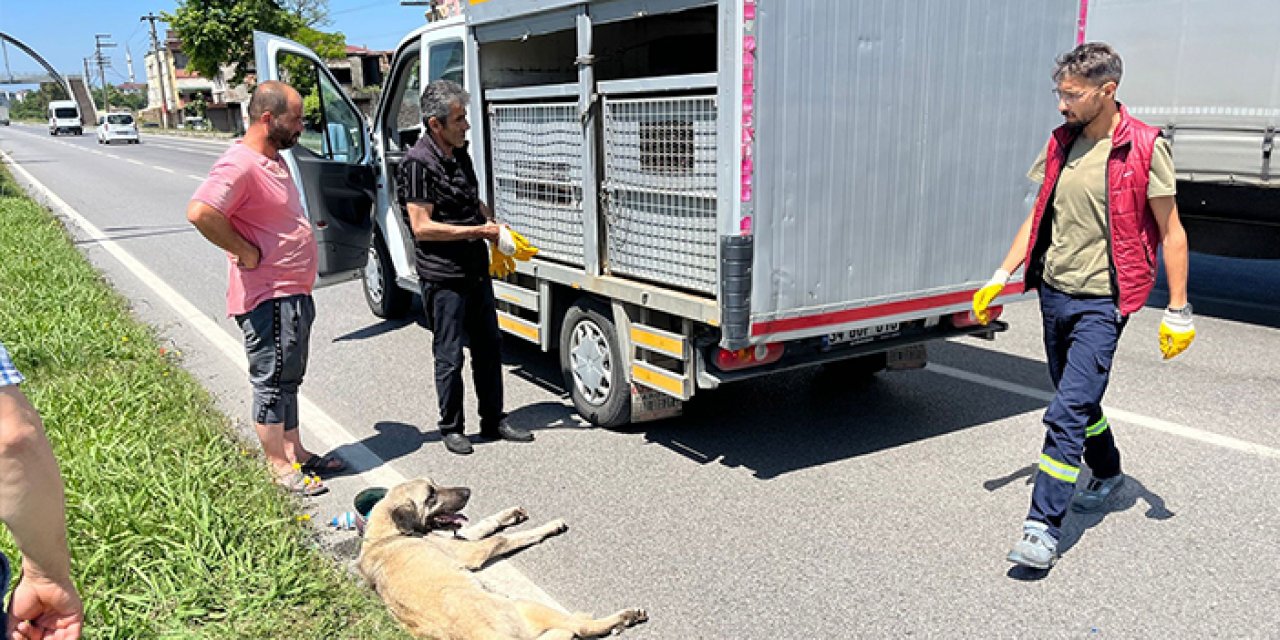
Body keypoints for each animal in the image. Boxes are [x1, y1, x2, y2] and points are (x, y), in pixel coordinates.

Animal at [358, 478, 650, 637]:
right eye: (430, 495)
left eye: (435, 484)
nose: (468, 491)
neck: (387, 533)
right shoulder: (472, 551)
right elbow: (505, 539)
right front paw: (548, 526)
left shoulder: (460, 540)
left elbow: (483, 525)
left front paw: (509, 514)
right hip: (524, 605)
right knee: (580, 628)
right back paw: (623, 617)